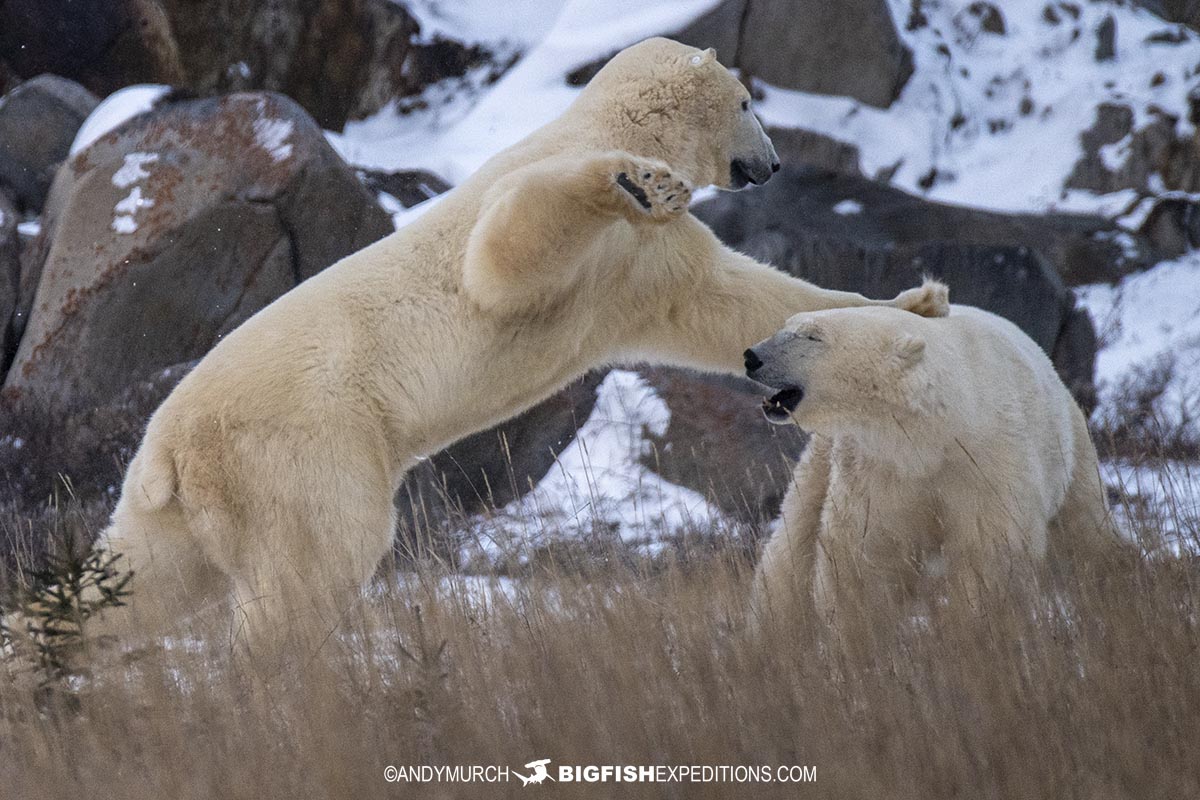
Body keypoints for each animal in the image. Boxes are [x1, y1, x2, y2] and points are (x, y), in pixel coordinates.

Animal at [92, 37, 949, 659]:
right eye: (745, 101)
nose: (770, 163)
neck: (616, 126)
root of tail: (169, 446)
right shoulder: (547, 203)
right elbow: (505, 254)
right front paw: (631, 182)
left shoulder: (648, 269)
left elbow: (729, 302)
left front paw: (915, 302)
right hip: (304, 442)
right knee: (315, 561)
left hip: (188, 503)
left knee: (146, 577)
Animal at [743, 303, 1120, 626]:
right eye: (786, 325)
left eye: (812, 336)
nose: (752, 356)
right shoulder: (877, 468)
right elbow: (863, 557)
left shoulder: (989, 463)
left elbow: (989, 556)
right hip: (821, 459)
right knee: (790, 552)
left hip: (1072, 450)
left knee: (1085, 532)